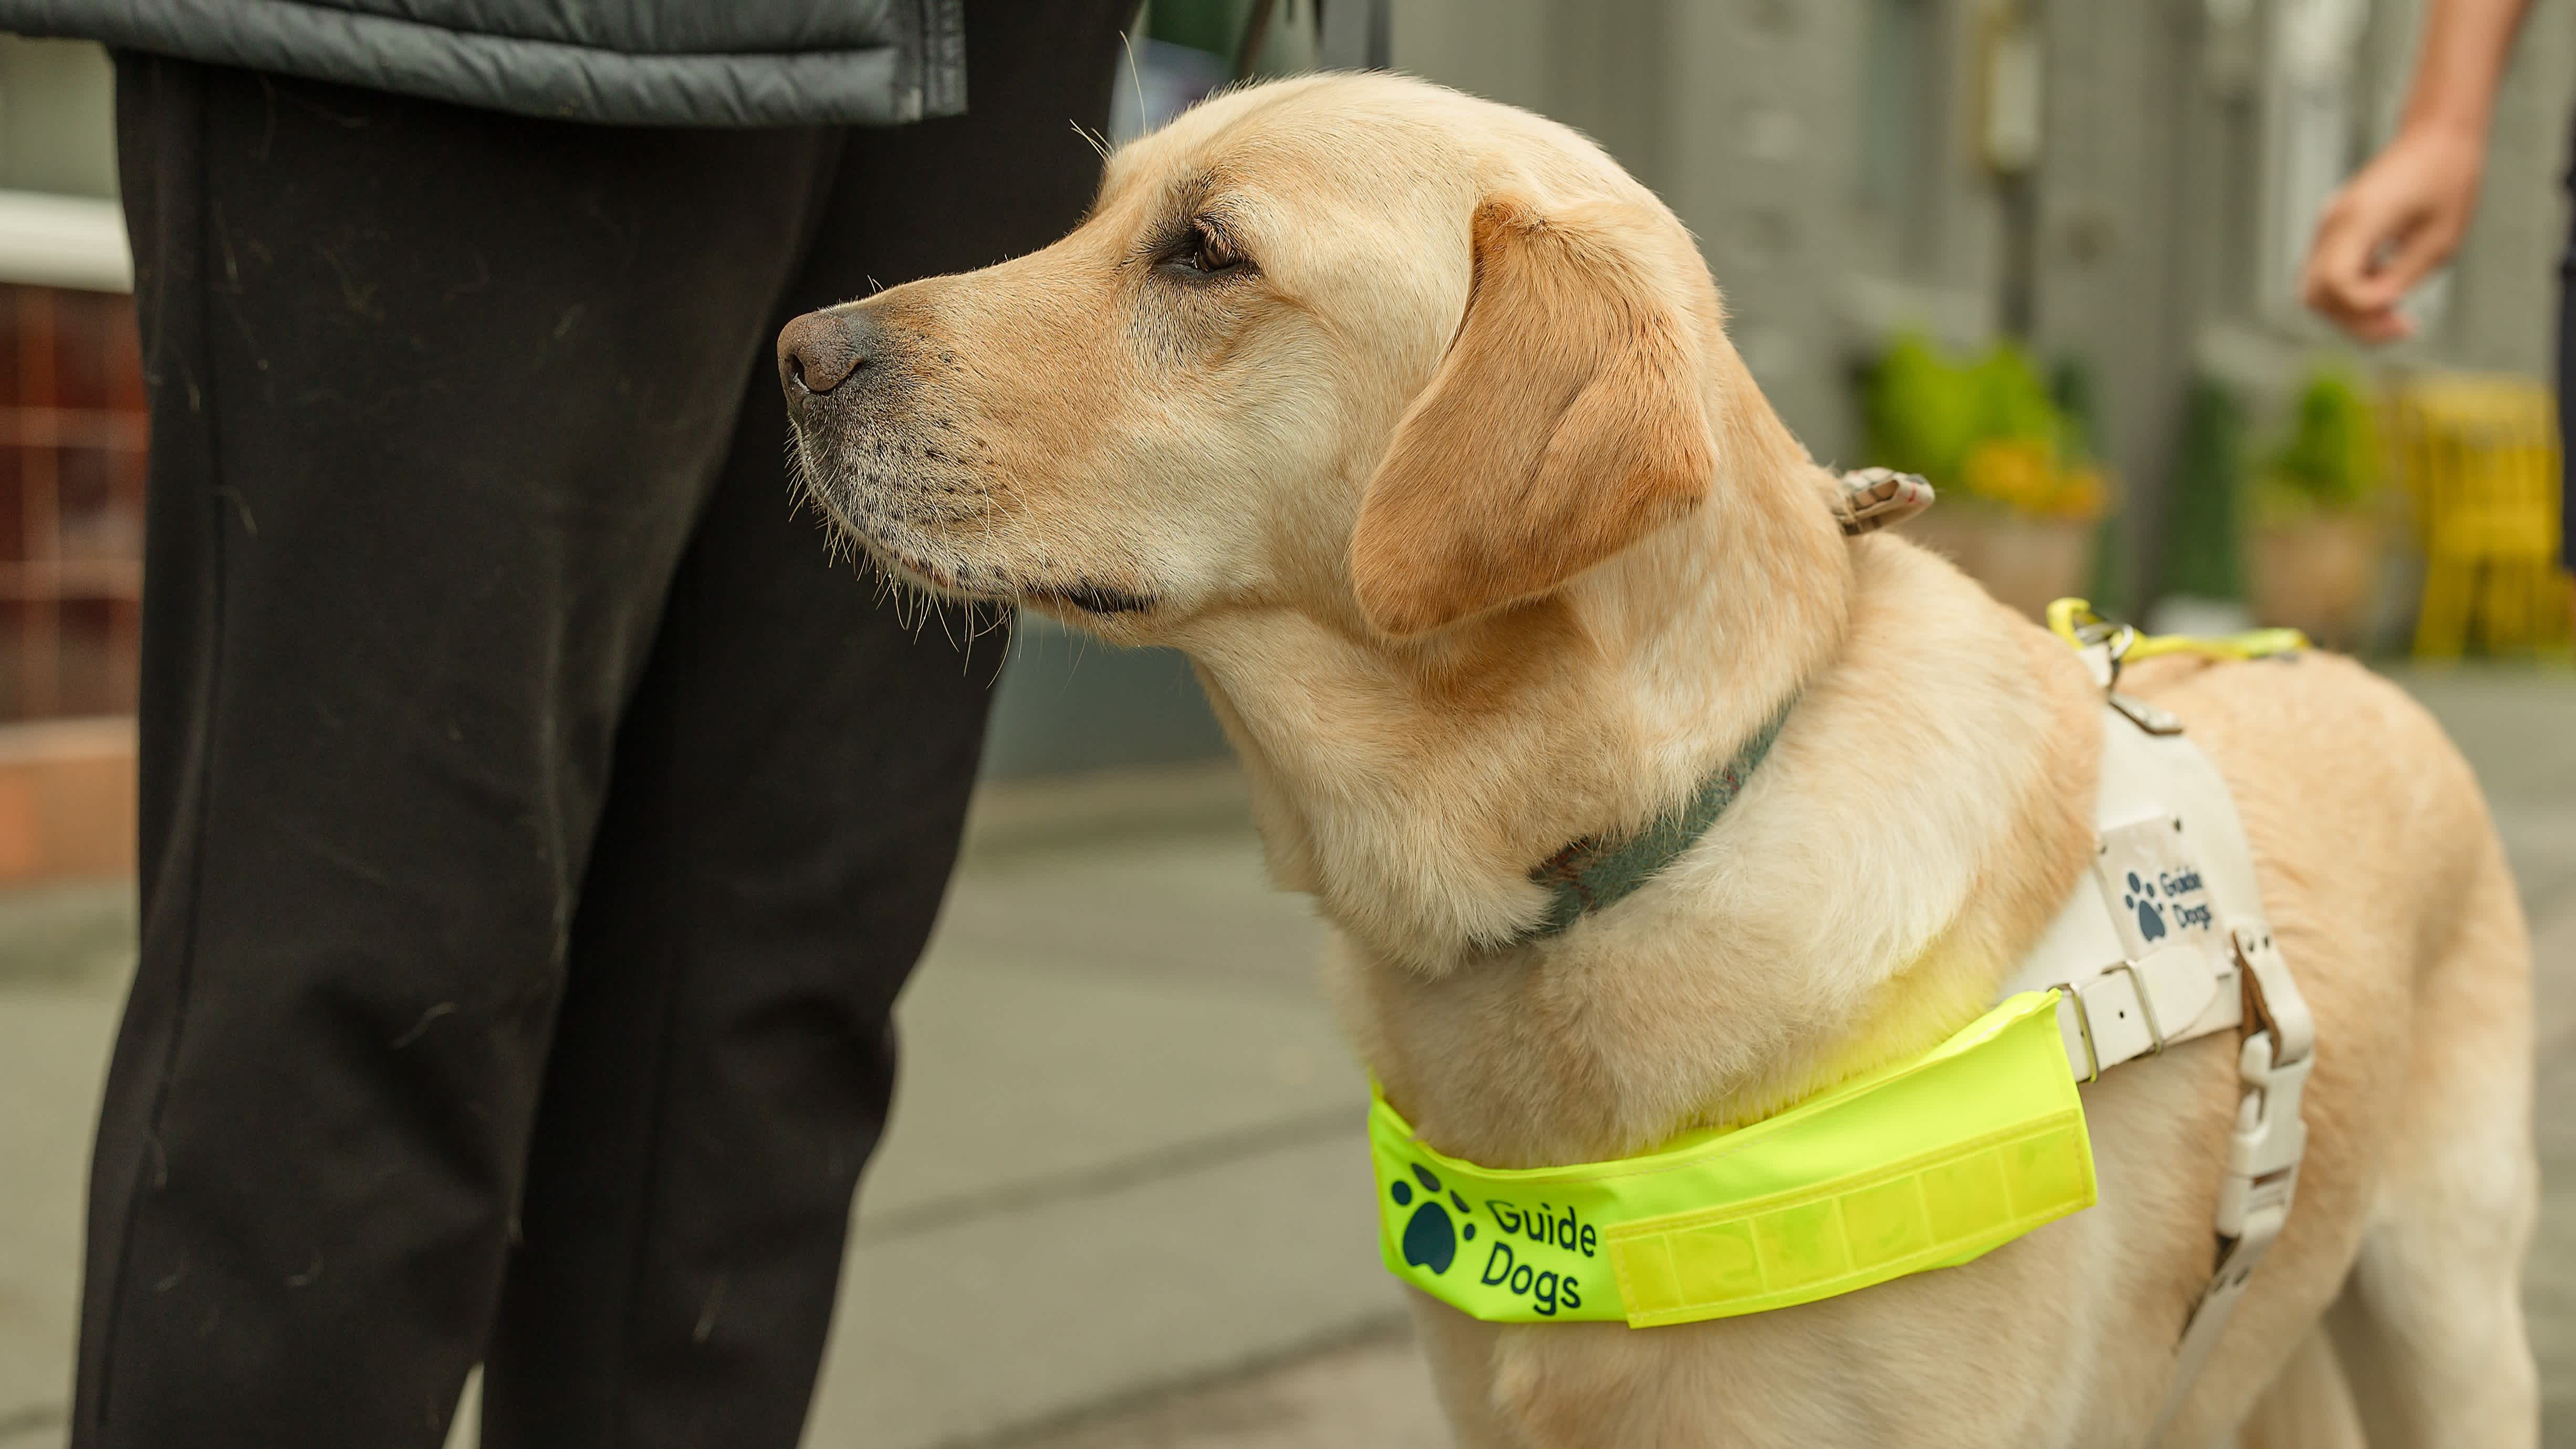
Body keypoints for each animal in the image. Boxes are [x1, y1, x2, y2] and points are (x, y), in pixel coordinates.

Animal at [778, 76, 2535, 1444]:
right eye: (1099, 217)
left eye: (1209, 253)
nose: (798, 352)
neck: (1619, 853)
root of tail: (2348, 664)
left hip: (2448, 1316)